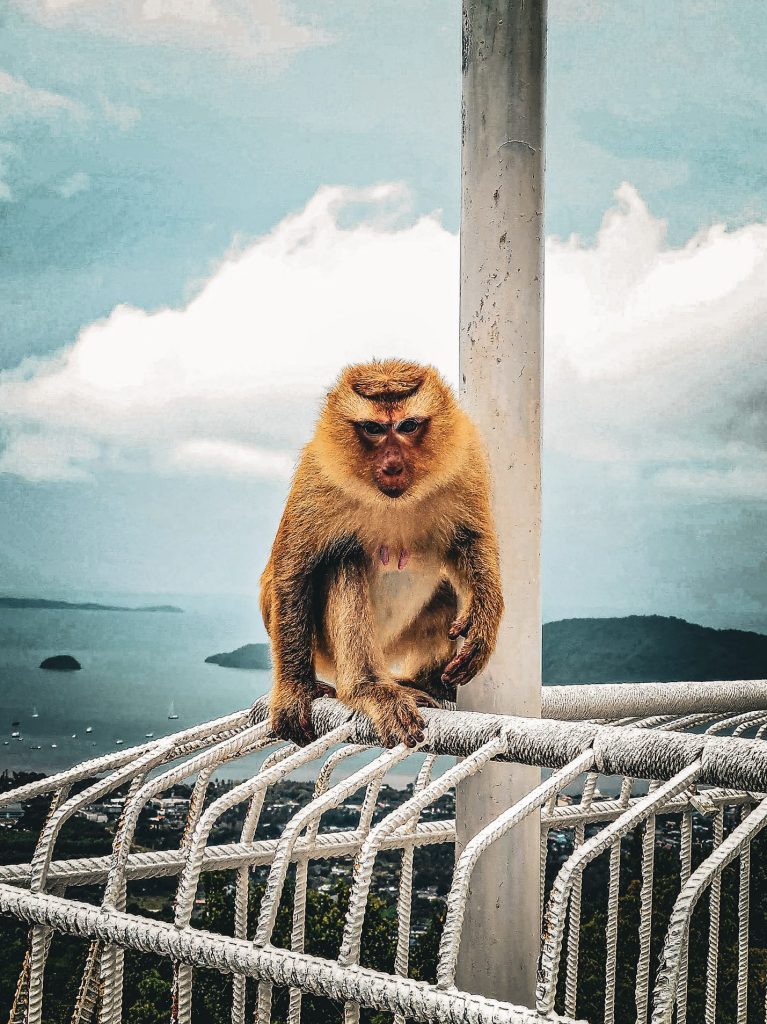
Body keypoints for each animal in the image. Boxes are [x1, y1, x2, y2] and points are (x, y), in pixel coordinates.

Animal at [259, 358, 503, 749]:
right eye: (373, 428)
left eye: (408, 426)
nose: (391, 464)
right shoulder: (317, 473)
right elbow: (291, 572)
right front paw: (294, 692)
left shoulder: (465, 461)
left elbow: (470, 541)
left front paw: (484, 618)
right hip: (329, 651)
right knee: (344, 557)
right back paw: (369, 688)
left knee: (446, 590)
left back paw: (423, 683)